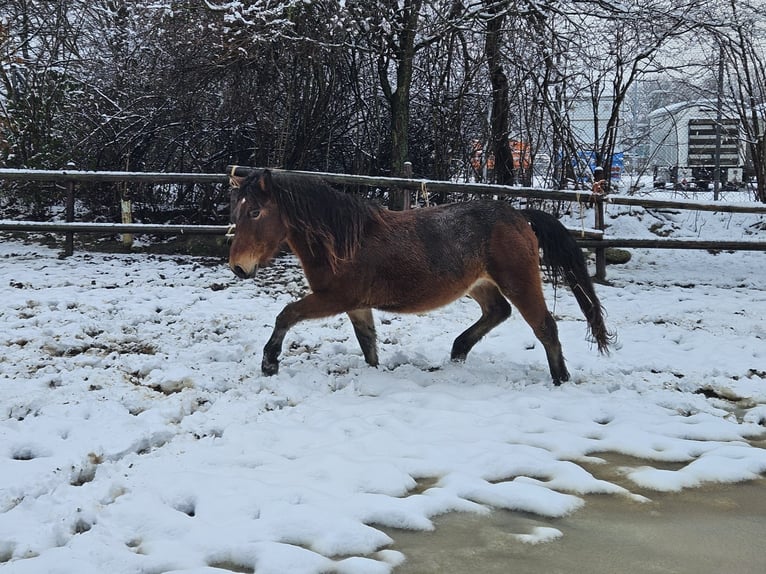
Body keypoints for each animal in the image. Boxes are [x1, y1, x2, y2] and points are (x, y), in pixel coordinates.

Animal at [226, 171, 612, 388]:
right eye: (237, 210)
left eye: (255, 212)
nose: (238, 267)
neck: (343, 240)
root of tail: (519, 216)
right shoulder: (357, 305)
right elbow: (368, 344)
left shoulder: (335, 298)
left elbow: (286, 314)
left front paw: (269, 362)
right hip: (480, 284)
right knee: (498, 312)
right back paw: (457, 353)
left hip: (518, 280)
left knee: (545, 326)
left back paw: (561, 380)